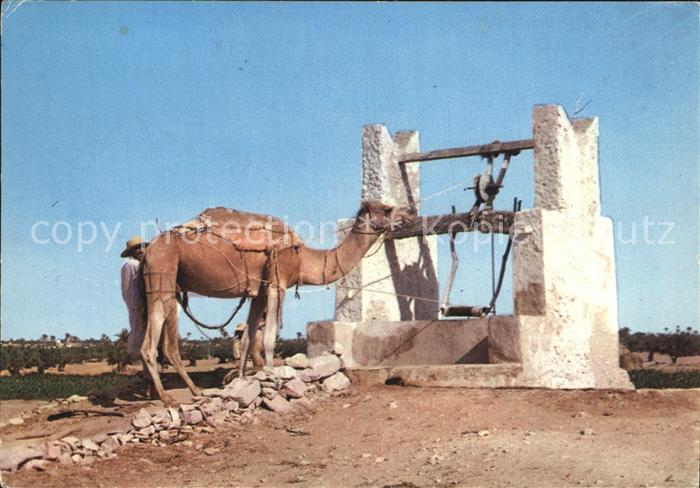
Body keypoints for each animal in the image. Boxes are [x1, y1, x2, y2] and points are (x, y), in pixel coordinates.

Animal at [140, 200, 415, 405]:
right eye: (387, 209)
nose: (411, 214)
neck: (303, 258)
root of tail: (150, 248)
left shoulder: (258, 291)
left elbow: (249, 338)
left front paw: (242, 381)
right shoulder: (277, 283)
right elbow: (270, 337)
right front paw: (273, 380)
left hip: (166, 281)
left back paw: (190, 392)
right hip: (162, 275)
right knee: (150, 344)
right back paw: (168, 398)